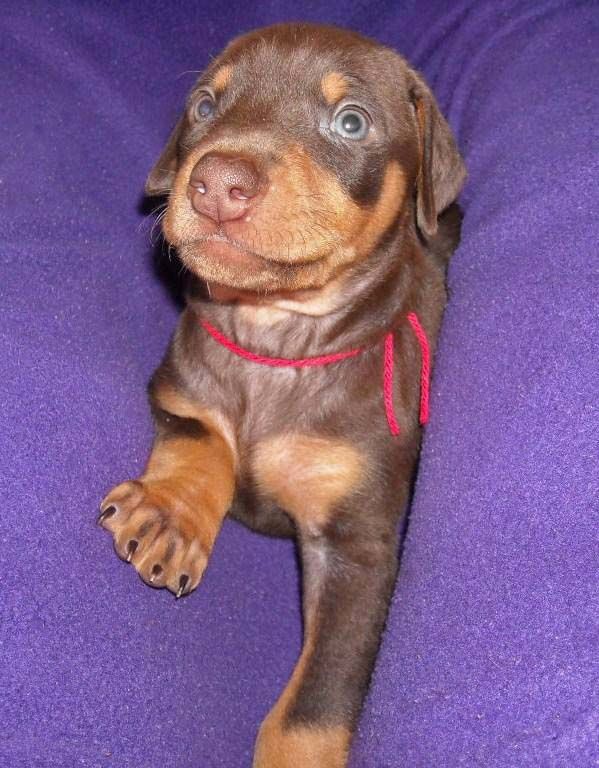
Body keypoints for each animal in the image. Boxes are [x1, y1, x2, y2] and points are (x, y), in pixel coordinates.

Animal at [98, 24, 466, 768]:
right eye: (206, 106)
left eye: (350, 122)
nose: (217, 184)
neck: (276, 338)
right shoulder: (177, 385)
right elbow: (201, 435)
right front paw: (170, 516)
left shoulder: (358, 548)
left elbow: (313, 706)